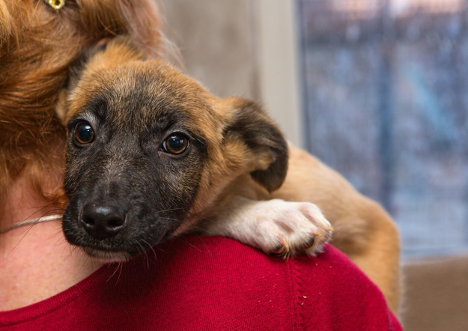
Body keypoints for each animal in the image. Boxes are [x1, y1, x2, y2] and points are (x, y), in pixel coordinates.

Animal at [56, 39, 400, 314]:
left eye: (176, 143)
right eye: (84, 132)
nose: (100, 219)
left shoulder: (374, 228)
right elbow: (213, 212)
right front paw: (269, 215)